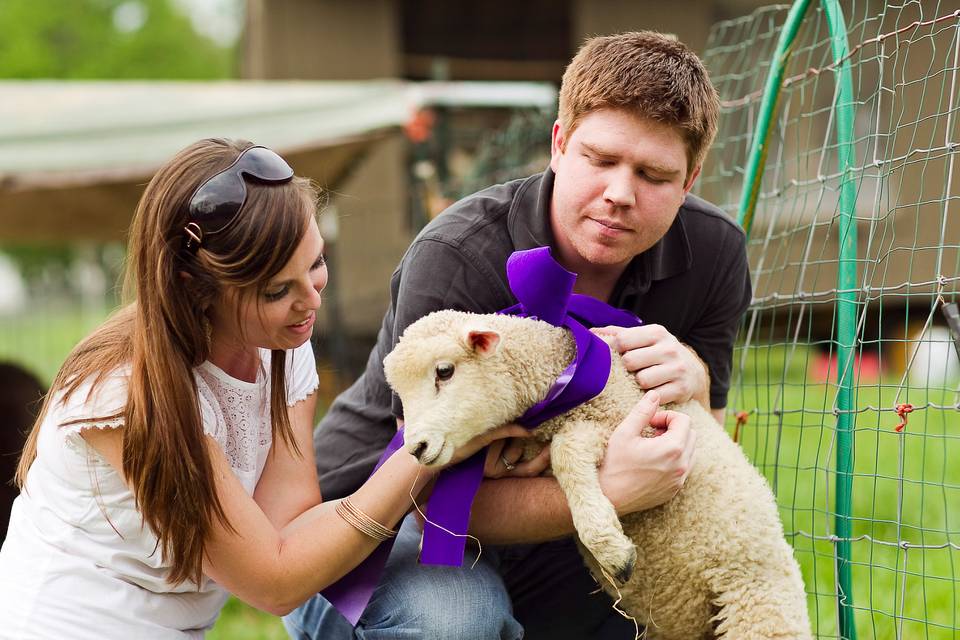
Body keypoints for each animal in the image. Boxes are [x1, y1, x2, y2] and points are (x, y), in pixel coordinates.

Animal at [382, 308, 808, 636]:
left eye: (444, 371)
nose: (415, 448)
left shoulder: (628, 424)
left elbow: (565, 452)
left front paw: (611, 549)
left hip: (759, 609)